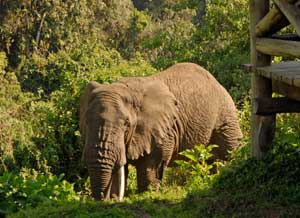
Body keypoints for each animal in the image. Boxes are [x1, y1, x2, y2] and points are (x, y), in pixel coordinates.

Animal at [79, 62, 241, 200]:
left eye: (126, 124)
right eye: (86, 122)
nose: (104, 199)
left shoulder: (164, 130)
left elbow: (151, 165)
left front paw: (148, 194)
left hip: (226, 117)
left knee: (228, 153)